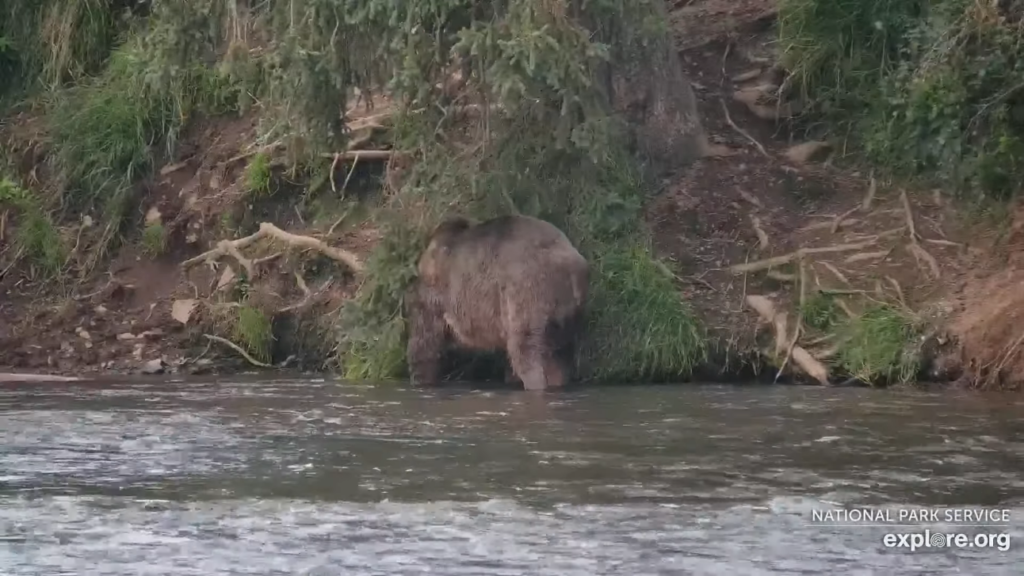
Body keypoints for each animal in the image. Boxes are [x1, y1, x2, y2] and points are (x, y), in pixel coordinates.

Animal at [403, 215, 589, 389]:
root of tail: (572, 268)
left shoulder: (437, 296)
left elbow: (426, 341)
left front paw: (421, 377)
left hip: (528, 291)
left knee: (526, 350)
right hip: (566, 316)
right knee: (559, 356)